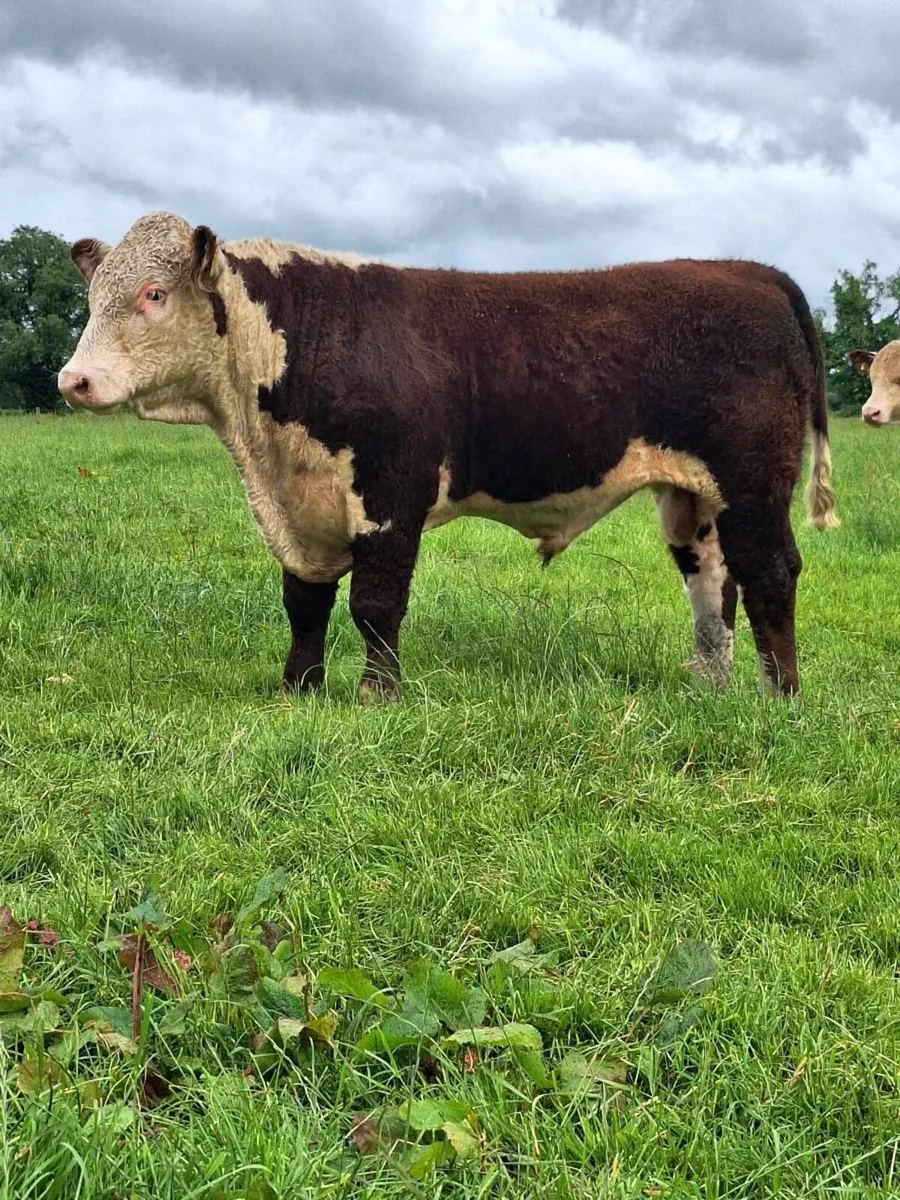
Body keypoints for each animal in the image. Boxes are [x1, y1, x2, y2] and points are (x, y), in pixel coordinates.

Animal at [58, 212, 838, 701]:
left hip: (753, 482)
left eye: (154, 293)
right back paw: (712, 688)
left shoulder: (389, 496)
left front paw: (377, 694)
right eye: (92, 298)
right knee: (712, 581)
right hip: (693, 496)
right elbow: (304, 603)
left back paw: (781, 696)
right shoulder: (301, 508)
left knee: (771, 572)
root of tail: (750, 271)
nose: (74, 380)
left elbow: (375, 604)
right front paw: (298, 688)